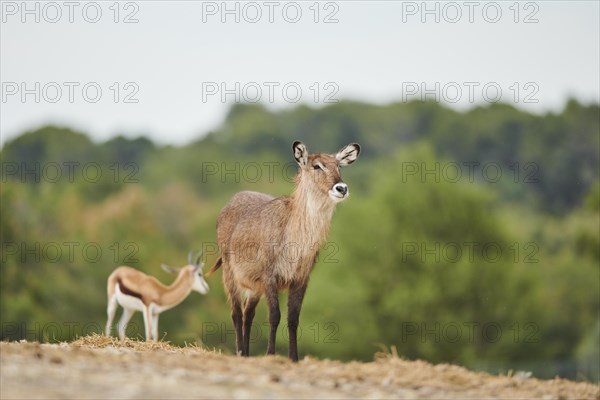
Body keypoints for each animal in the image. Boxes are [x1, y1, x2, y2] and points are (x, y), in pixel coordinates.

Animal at [207, 142, 360, 360]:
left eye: (339, 166)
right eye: (316, 166)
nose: (341, 188)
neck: (296, 241)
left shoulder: (301, 279)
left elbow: (293, 319)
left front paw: (294, 358)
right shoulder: (269, 276)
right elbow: (275, 316)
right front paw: (271, 354)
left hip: (254, 287)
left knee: (248, 314)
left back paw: (247, 353)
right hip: (230, 274)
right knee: (236, 313)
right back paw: (240, 352)